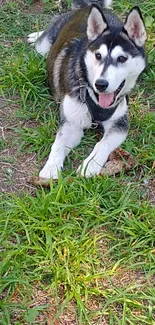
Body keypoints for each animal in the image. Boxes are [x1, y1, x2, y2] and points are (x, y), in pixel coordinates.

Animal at [27, 0, 147, 177]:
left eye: (122, 58)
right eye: (98, 55)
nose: (101, 84)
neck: (93, 96)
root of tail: (89, 5)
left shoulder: (119, 124)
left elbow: (102, 145)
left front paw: (90, 165)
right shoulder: (71, 123)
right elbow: (58, 144)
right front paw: (51, 168)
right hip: (42, 46)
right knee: (44, 38)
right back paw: (37, 34)